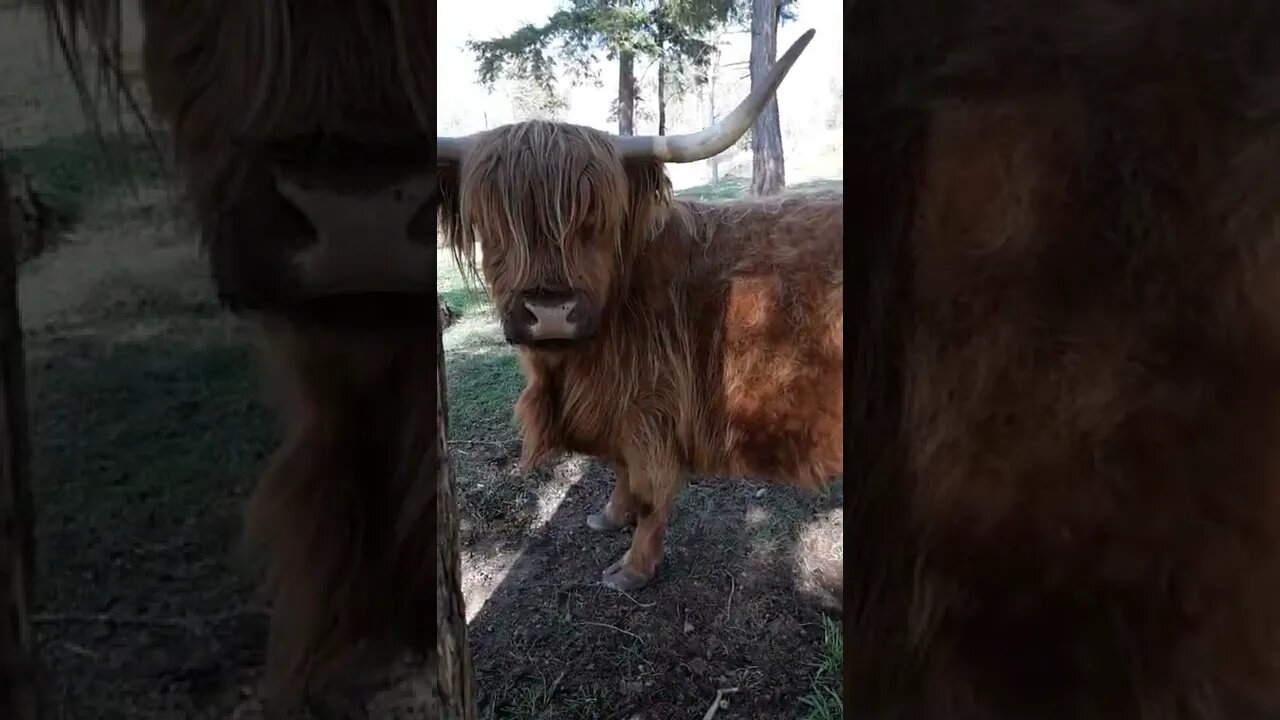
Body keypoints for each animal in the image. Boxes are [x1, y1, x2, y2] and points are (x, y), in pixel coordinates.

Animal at [437, 30, 842, 593]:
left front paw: (631, 569)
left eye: (596, 220)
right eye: (492, 225)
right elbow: (619, 468)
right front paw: (609, 515)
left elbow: (652, 491)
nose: (550, 309)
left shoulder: (654, 408)